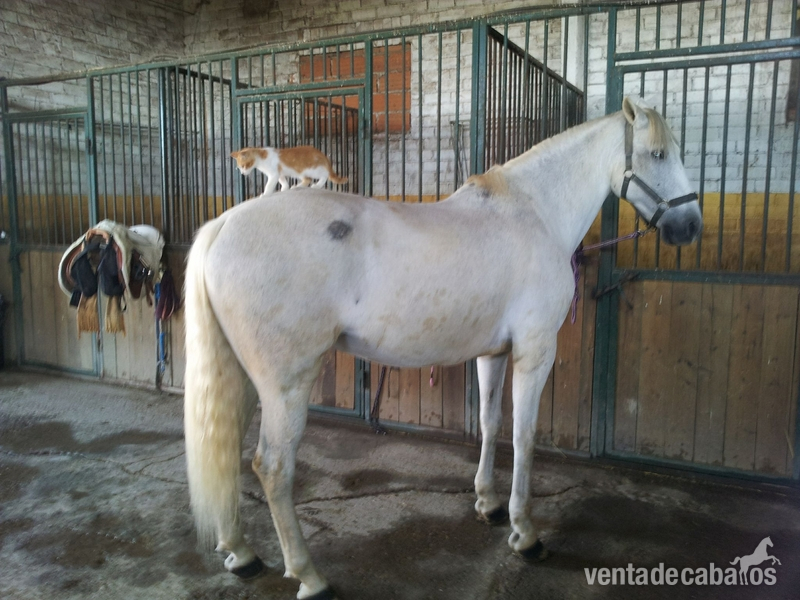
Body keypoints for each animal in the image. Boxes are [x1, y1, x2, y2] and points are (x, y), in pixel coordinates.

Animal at [183, 96, 702, 600]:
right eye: (658, 154)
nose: (690, 226)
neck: (534, 214)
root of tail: (223, 226)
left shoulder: (494, 353)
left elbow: (491, 423)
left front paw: (488, 504)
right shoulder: (535, 351)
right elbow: (525, 436)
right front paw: (525, 534)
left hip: (243, 377)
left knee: (226, 447)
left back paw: (240, 553)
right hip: (285, 382)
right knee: (272, 466)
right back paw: (310, 577)